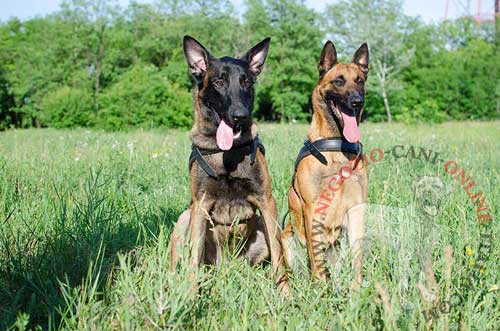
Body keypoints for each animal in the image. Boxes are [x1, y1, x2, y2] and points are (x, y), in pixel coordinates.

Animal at [170, 36, 290, 296]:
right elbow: (193, 258)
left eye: (246, 82)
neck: (228, 154)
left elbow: (279, 255)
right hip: (185, 218)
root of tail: (227, 267)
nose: (240, 116)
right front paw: (190, 296)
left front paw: (285, 293)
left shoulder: (266, 201)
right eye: (219, 81)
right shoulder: (200, 205)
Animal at [284, 40, 370, 286]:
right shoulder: (312, 208)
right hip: (287, 239)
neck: (337, 146)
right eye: (339, 81)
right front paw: (321, 289)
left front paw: (357, 289)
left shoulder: (356, 208)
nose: (357, 101)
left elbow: (357, 255)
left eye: (360, 81)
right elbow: (316, 257)